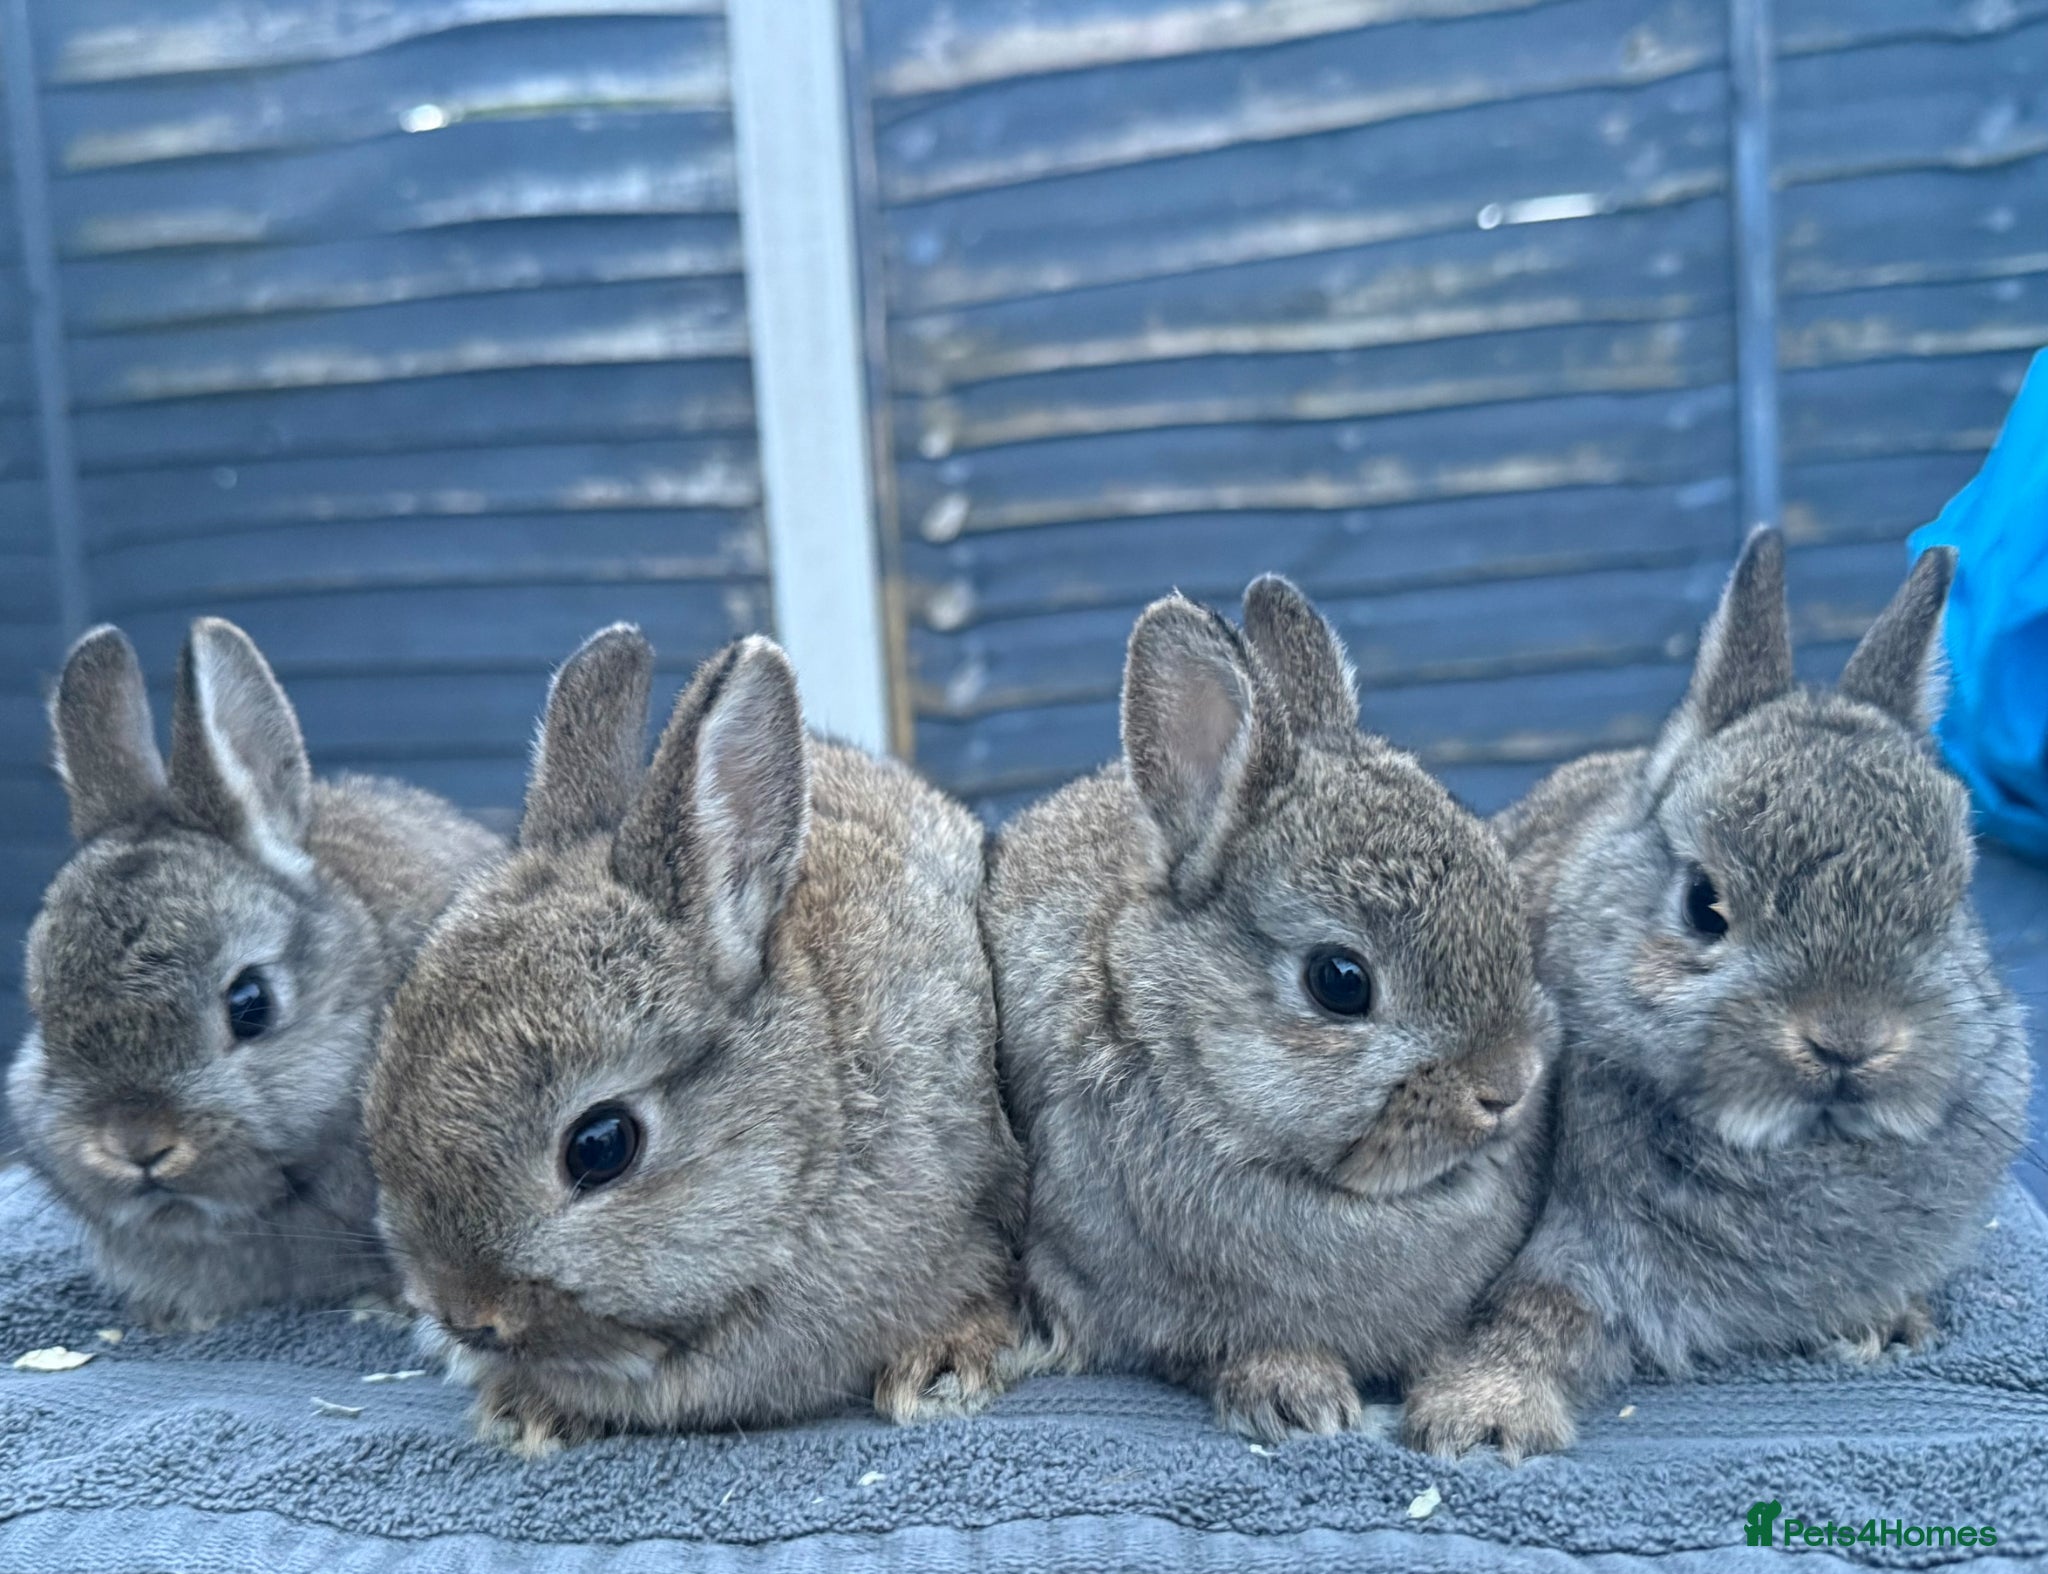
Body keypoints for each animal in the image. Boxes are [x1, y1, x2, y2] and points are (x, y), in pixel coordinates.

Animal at [1403, 528, 2033, 1463]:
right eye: (1704, 903)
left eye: (1951, 901)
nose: (1848, 1039)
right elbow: (1530, 1313)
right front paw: (1480, 1420)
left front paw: (1880, 1324)